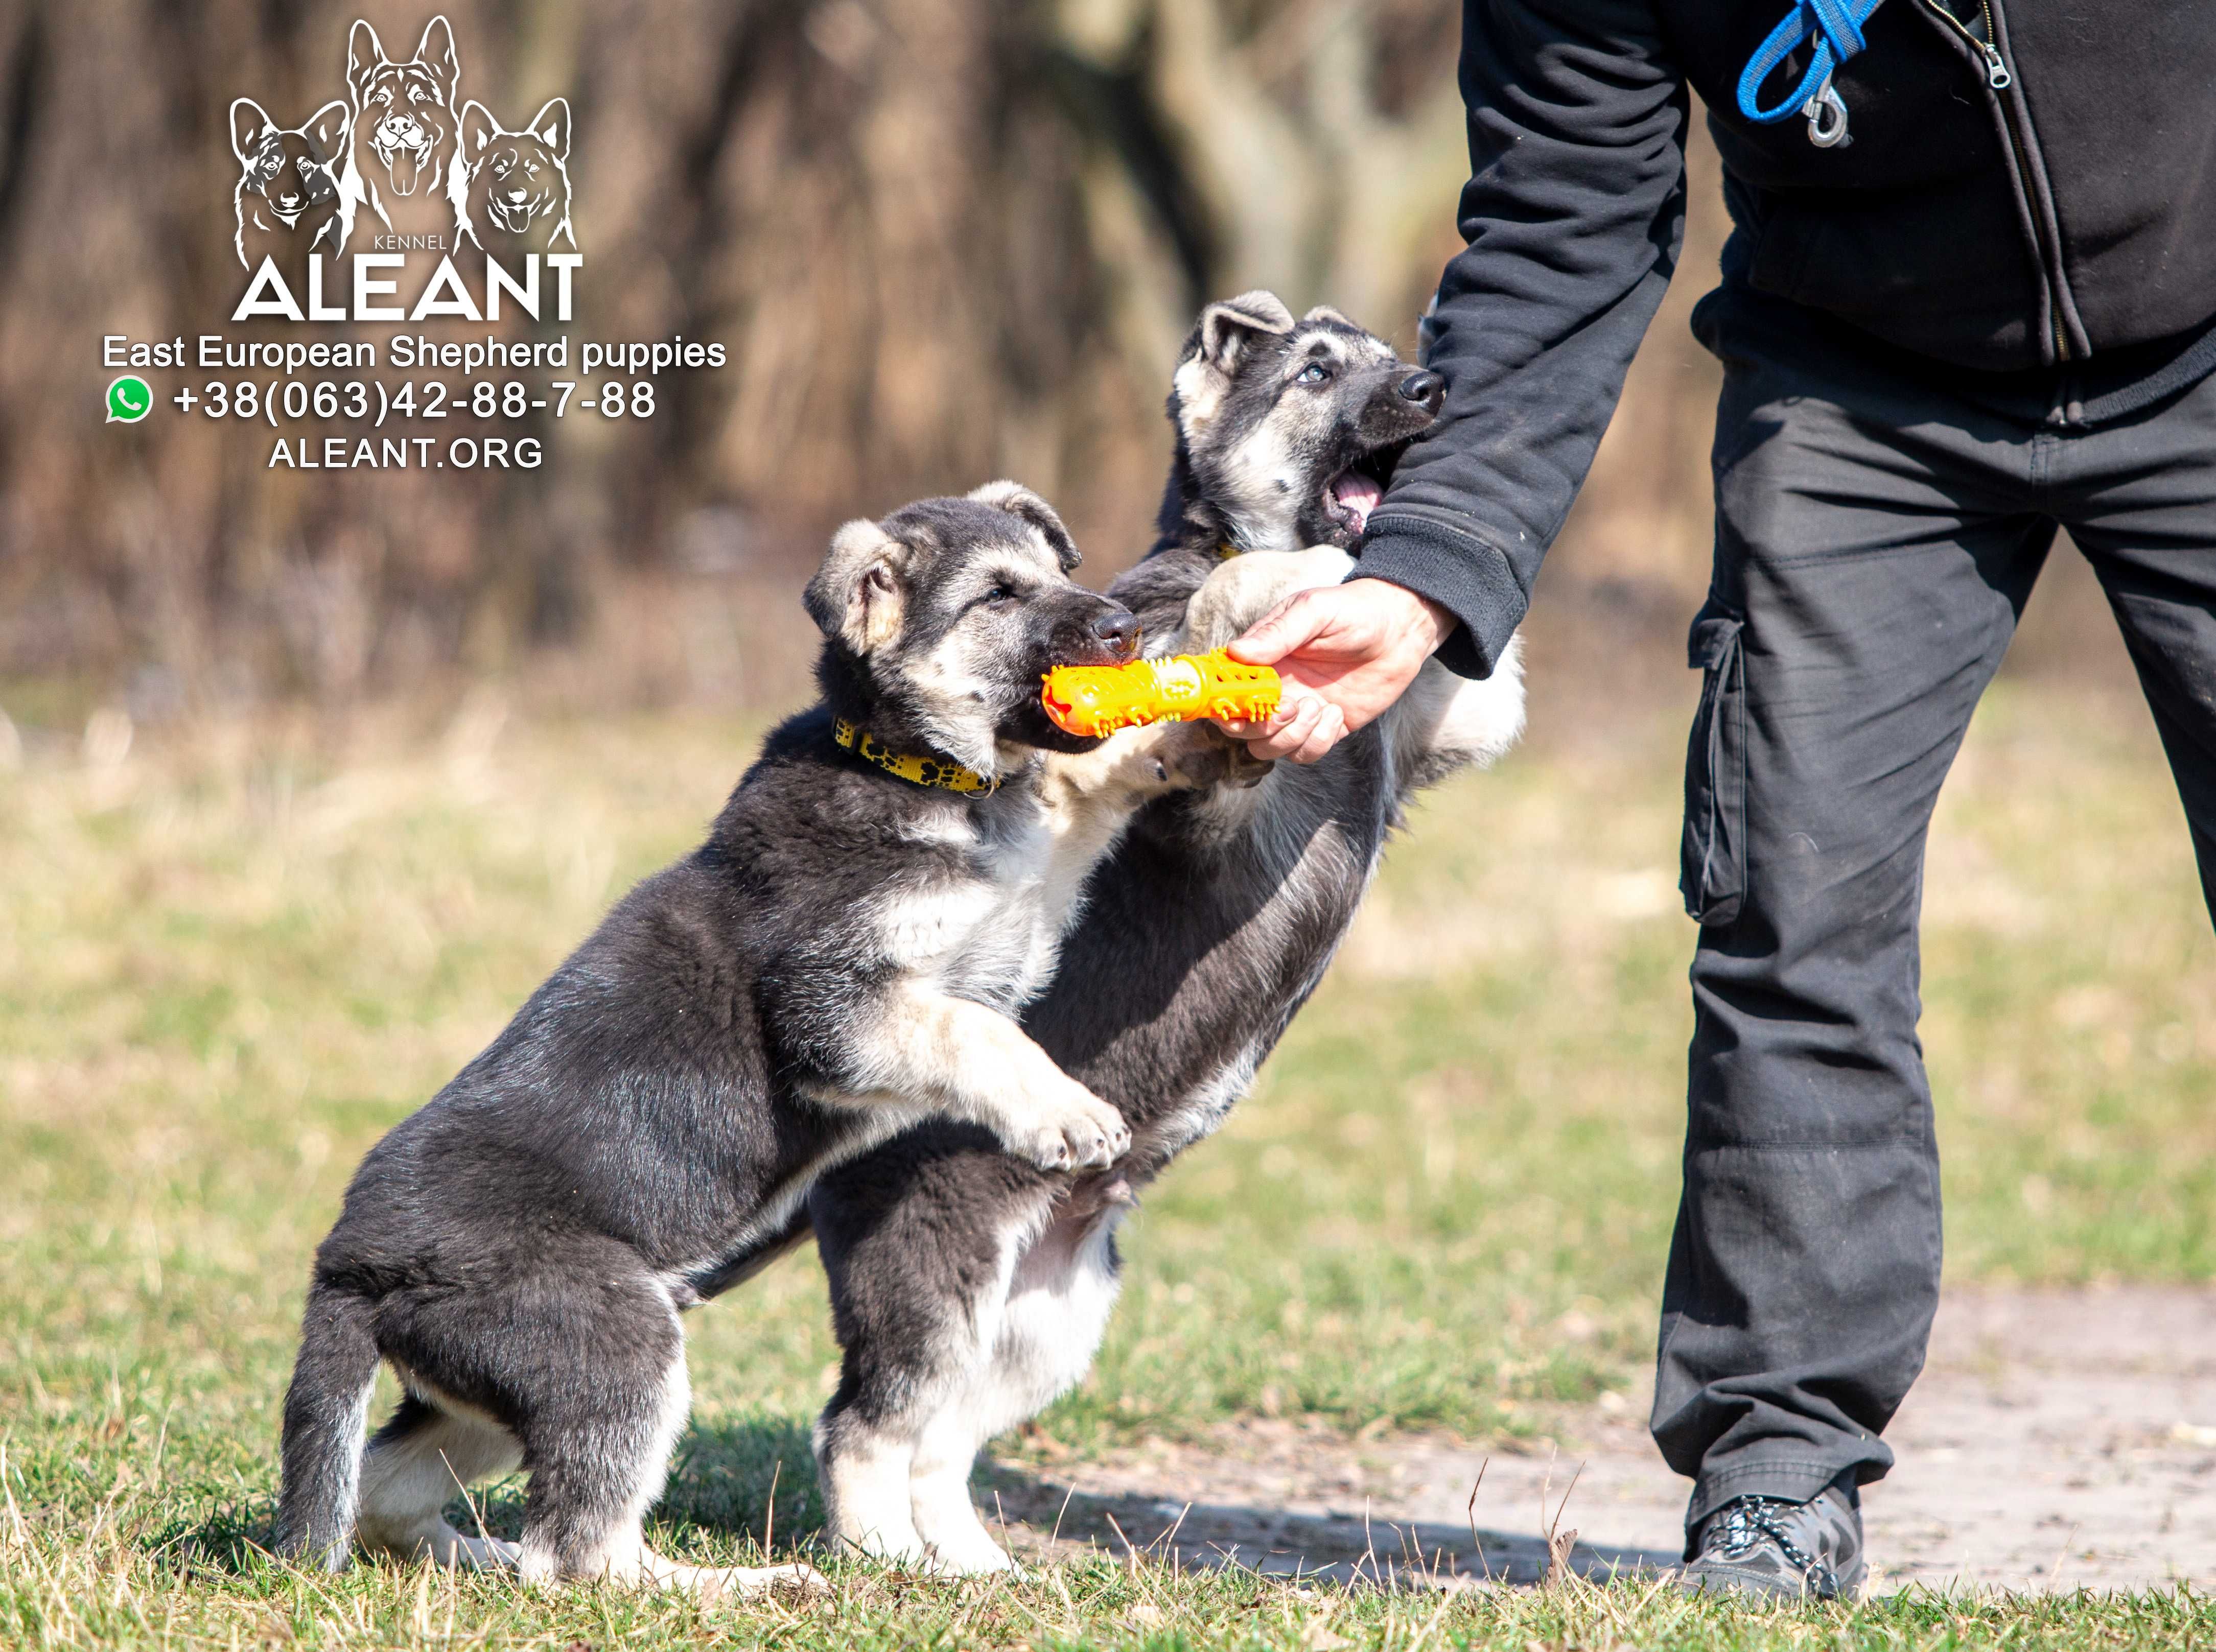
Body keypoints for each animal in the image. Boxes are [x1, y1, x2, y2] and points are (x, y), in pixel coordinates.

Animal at [272, 483, 1232, 1585]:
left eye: (1055, 571)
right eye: (998, 595)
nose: (1123, 629)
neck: (917, 775)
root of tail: (348, 1263)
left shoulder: (1020, 898)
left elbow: (1079, 789)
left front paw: (1194, 730)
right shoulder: (838, 1007)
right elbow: (975, 1034)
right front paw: (1065, 1113)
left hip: (501, 1383)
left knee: (396, 1489)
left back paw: (473, 1553)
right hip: (613, 1337)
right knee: (583, 1551)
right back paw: (734, 1583)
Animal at [811, 290, 1524, 1568]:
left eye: (1392, 352)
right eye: (1314, 372)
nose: (1432, 389)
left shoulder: (1444, 723)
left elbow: (1464, 663)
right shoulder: (1200, 778)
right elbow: (1217, 611)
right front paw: (1285, 575)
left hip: (1045, 1321)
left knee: (938, 1447)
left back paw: (973, 1568)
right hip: (933, 1277)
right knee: (860, 1427)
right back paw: (880, 1560)